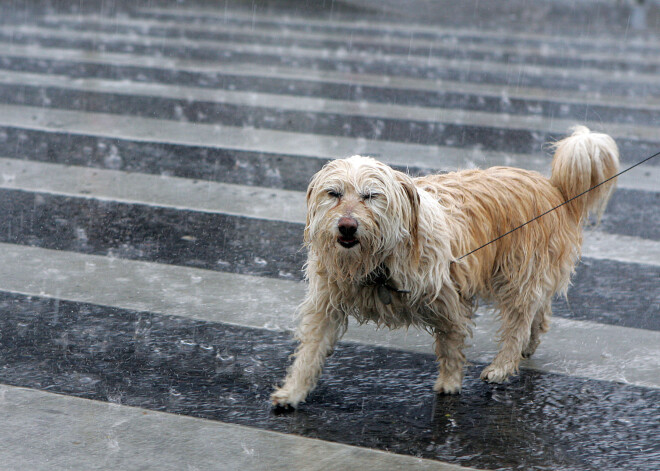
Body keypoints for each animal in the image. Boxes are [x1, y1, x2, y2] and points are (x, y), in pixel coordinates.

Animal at [272, 126, 620, 410]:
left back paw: (503, 365)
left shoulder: (449, 297)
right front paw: (293, 391)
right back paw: (528, 346)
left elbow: (451, 344)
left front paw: (450, 384)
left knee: (519, 319)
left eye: (370, 196)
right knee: (540, 310)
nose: (346, 226)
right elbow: (310, 351)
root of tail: (553, 187)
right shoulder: (327, 303)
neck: (378, 261)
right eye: (334, 194)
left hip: (518, 273)